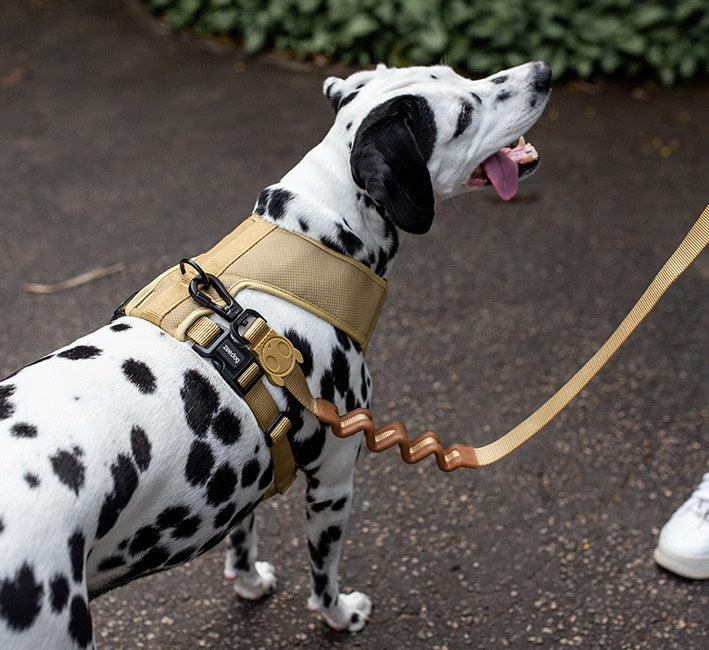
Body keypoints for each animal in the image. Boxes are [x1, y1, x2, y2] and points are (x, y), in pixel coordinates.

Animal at [0, 59, 552, 644]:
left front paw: (247, 581)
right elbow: (323, 576)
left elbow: (242, 537)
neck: (308, 250)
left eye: (455, 72)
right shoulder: (333, 484)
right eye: (464, 114)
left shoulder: (246, 474)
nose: (542, 73)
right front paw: (339, 615)